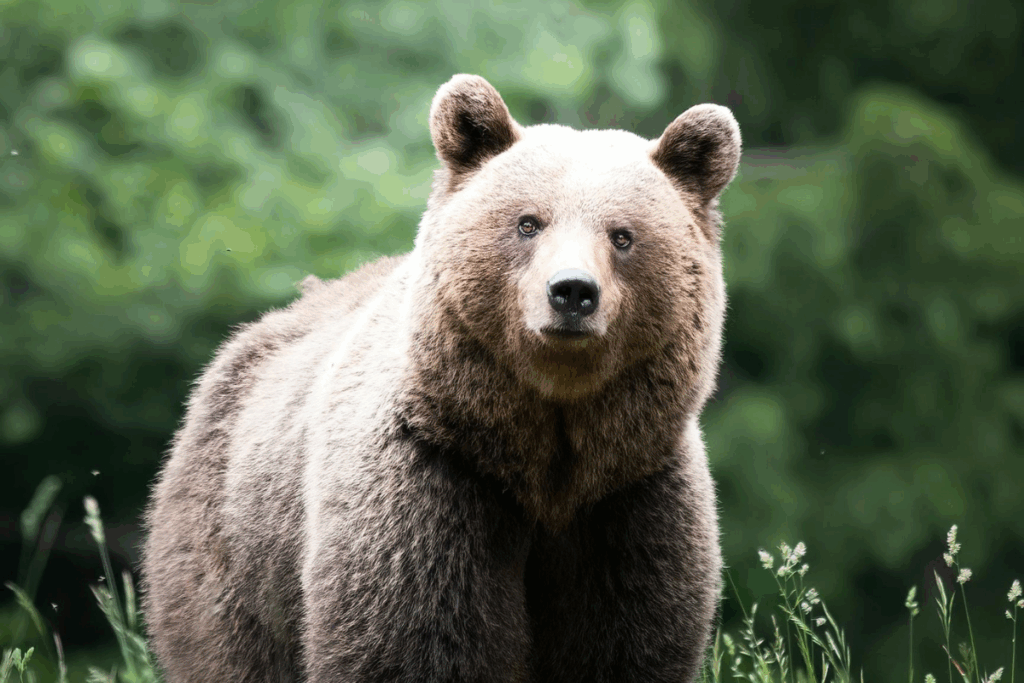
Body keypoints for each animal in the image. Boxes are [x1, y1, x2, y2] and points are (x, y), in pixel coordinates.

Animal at [141, 74, 741, 683]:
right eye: (528, 222)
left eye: (622, 235)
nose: (572, 291)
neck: (543, 460)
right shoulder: (434, 478)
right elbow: (416, 640)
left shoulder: (630, 498)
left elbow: (623, 641)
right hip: (233, 543)